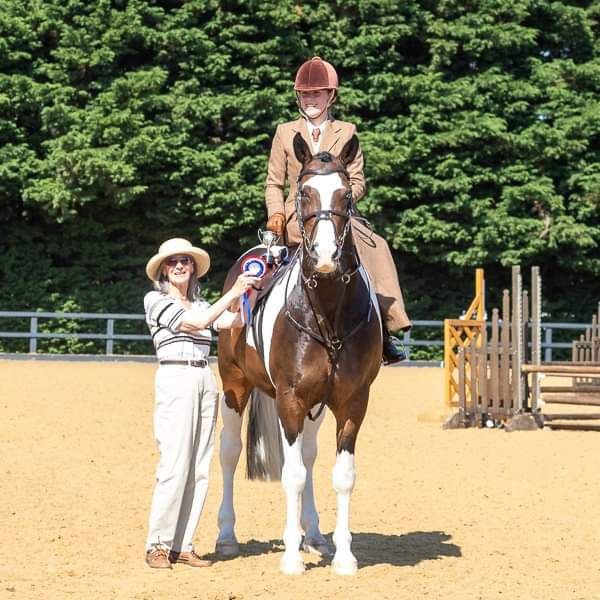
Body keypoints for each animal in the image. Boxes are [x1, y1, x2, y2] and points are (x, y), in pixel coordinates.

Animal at [216, 134, 382, 576]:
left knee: (307, 456)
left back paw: (315, 535)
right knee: (229, 452)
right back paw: (226, 536)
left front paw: (343, 555)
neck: (326, 312)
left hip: (315, 405)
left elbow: (341, 474)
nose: (325, 257)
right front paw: (291, 557)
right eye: (304, 192)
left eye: (346, 195)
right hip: (234, 386)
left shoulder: (351, 402)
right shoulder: (289, 400)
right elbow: (291, 475)